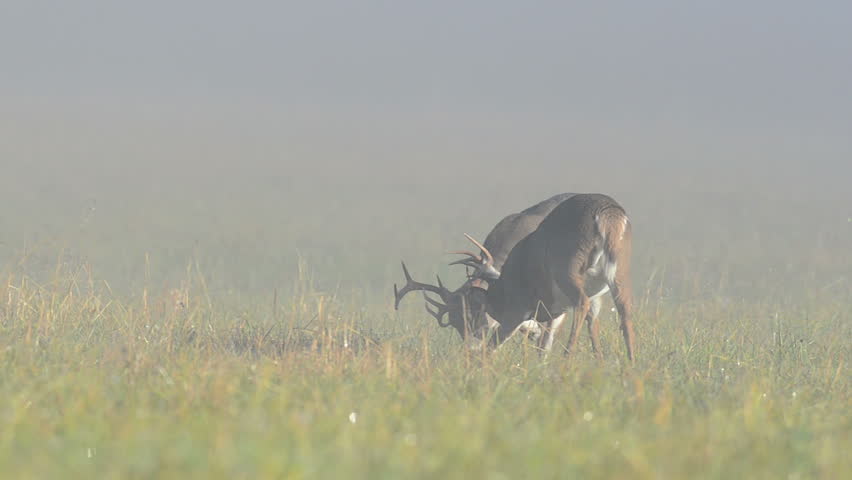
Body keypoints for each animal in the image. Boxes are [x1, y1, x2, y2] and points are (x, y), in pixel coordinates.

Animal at [454, 193, 635, 362]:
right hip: (620, 269)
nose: (470, 344)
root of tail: (608, 214)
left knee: (582, 303)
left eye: (473, 314)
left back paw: (566, 360)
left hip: (567, 268)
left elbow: (497, 341)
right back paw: (630, 363)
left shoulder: (517, 307)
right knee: (624, 309)